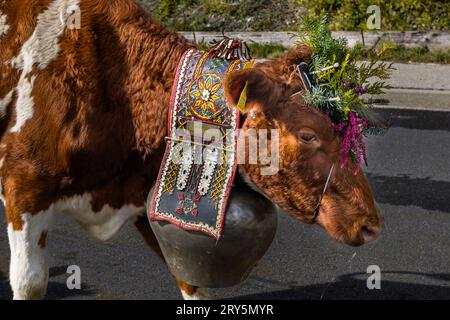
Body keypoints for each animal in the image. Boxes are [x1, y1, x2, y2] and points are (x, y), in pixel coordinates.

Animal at [0, 0, 384, 300]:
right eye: (307, 135)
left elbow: (191, 281)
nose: (372, 225)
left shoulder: (150, 205)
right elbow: (30, 282)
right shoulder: (24, 189)